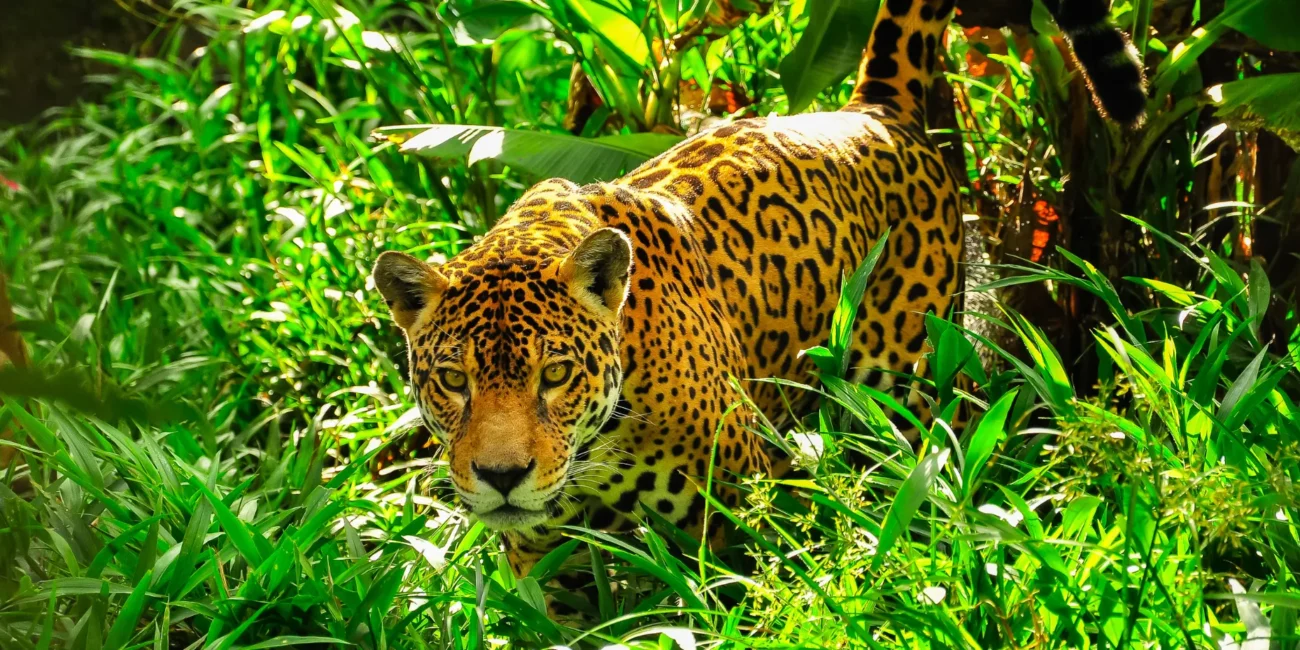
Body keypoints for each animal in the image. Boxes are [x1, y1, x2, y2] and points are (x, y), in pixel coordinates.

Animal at [372, 0, 1145, 603]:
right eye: (453, 380)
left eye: (555, 374)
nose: (502, 478)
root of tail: (873, 108)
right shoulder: (548, 565)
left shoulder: (738, 521)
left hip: (911, 389)